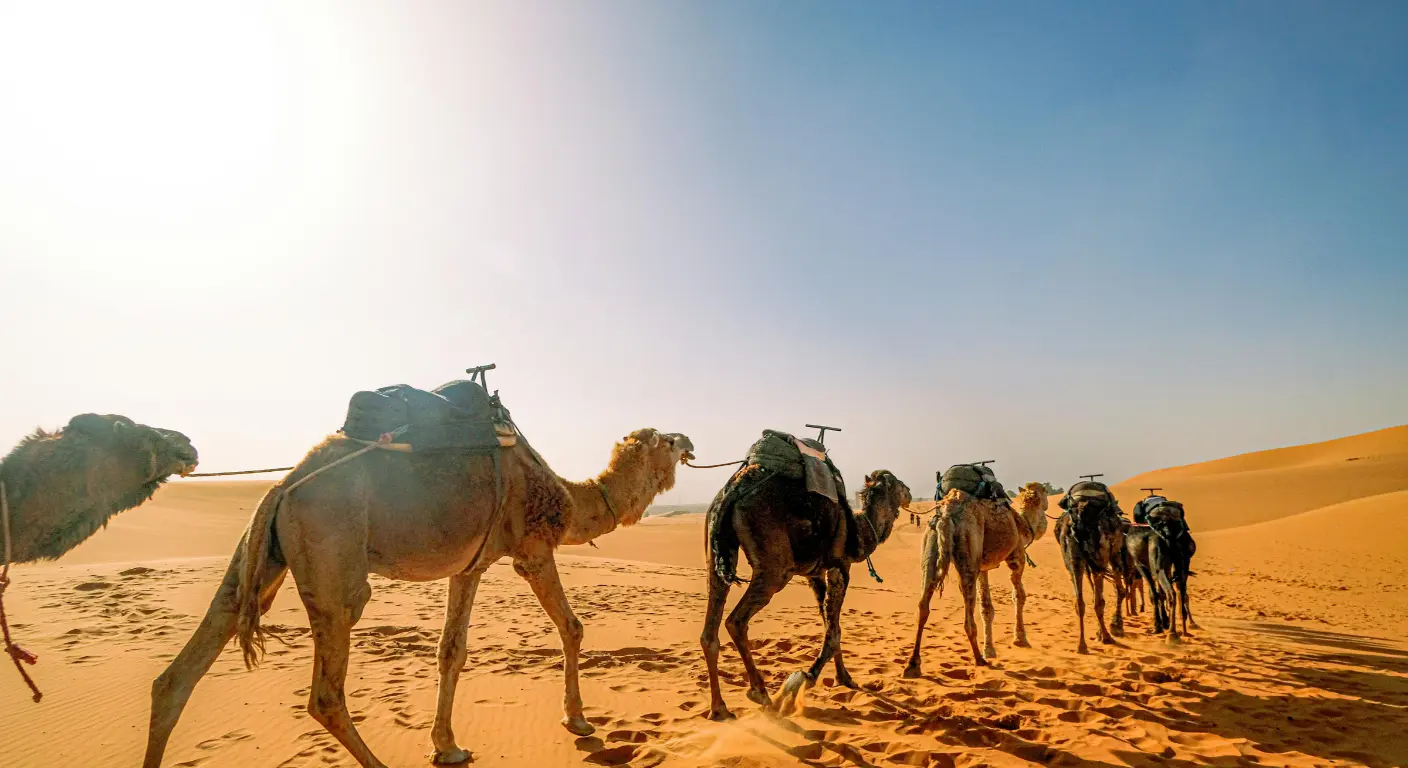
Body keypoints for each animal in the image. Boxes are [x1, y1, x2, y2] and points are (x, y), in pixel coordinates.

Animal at [144, 427, 694, 768]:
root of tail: (283, 486)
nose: (689, 440)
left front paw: (447, 746)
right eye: (667, 439)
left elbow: (452, 650)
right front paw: (577, 719)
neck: (567, 496)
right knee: (325, 694)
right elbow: (572, 626)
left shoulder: (471, 564)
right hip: (334, 559)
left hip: (262, 558)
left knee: (178, 674)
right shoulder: (532, 550)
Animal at [701, 469, 911, 721]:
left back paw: (719, 708)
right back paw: (761, 693)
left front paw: (844, 677)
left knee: (709, 631)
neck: (859, 531)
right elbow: (833, 631)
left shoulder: (815, 574)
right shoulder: (840, 567)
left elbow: (831, 623)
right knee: (735, 621)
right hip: (775, 567)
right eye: (897, 483)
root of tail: (730, 494)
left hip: (716, 553)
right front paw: (805, 678)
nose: (909, 492)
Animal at [904, 481, 1059, 672]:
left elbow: (986, 607)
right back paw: (979, 659)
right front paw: (1020, 639)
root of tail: (947, 514)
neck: (1023, 525)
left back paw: (913, 662)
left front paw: (990, 649)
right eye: (1044, 493)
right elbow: (1019, 596)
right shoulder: (1017, 557)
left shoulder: (983, 569)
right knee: (967, 609)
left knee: (923, 603)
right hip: (969, 546)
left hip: (931, 543)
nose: (1048, 504)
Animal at [1054, 482, 1130, 654]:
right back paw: (1107, 637)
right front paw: (1116, 626)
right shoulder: (1113, 556)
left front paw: (1101, 631)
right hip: (1101, 557)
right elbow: (1119, 591)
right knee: (1100, 601)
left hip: (1074, 560)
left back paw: (1082, 645)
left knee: (1080, 602)